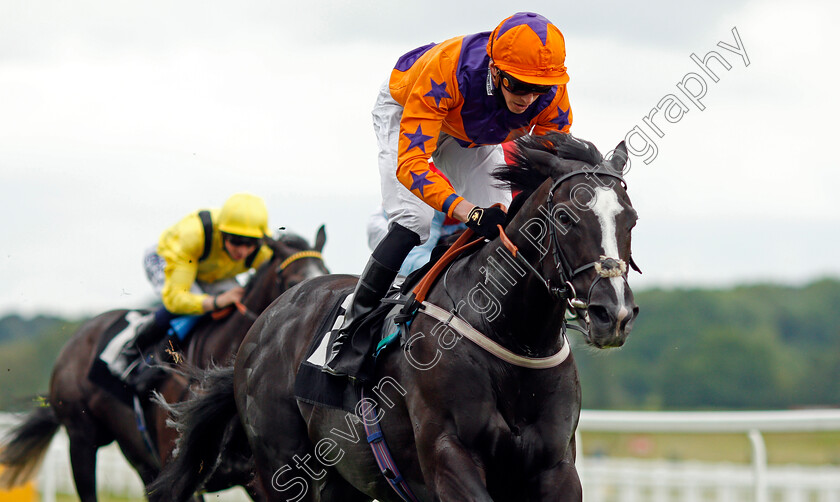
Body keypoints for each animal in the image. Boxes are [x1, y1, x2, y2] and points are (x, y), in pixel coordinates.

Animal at [0, 228, 328, 502]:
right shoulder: (182, 474)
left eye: (325, 272)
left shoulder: (257, 477)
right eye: (292, 281)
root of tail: (78, 338)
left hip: (140, 460)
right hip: (81, 441)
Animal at [154, 134, 640, 502]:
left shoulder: (556, 467)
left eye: (631, 219)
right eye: (565, 217)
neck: (511, 339)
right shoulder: (448, 456)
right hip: (283, 470)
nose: (612, 312)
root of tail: (261, 329)